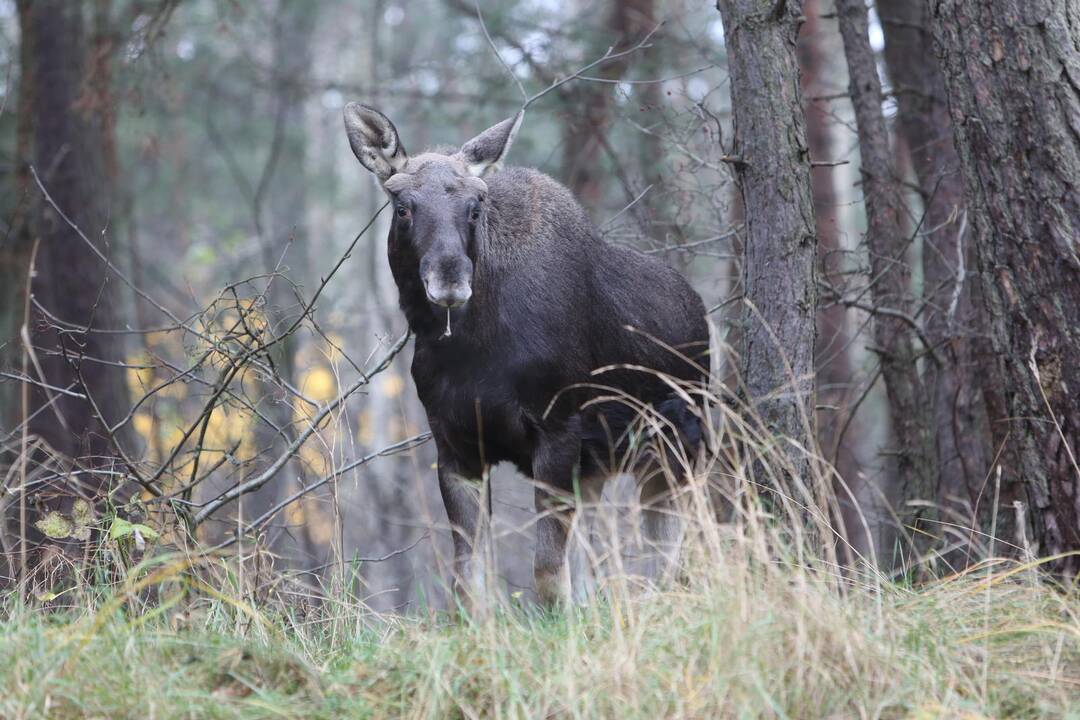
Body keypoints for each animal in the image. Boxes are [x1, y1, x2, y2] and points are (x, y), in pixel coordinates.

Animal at [343, 104, 708, 604]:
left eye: (475, 207)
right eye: (402, 206)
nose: (450, 278)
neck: (470, 347)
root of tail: (700, 312)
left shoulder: (557, 430)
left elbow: (547, 573)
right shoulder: (456, 445)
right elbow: (469, 581)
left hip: (675, 444)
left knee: (673, 555)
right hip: (603, 464)